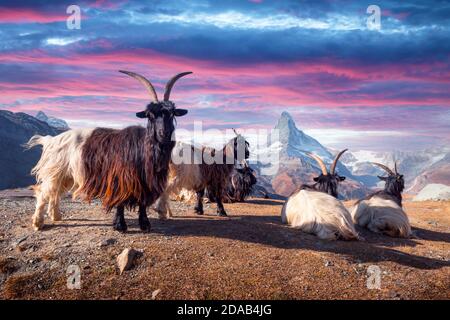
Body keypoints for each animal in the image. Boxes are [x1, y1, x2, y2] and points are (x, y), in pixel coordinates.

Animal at [25, 70, 192, 231]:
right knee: (43, 192)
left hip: (65, 175)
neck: (144, 148)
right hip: (55, 171)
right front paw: (120, 226)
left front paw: (145, 225)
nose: (164, 133)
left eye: (172, 113)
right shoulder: (120, 179)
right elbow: (120, 202)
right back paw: (38, 223)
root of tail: (51, 140)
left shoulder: (145, 182)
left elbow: (142, 203)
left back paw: (56, 216)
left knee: (54, 193)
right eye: (150, 115)